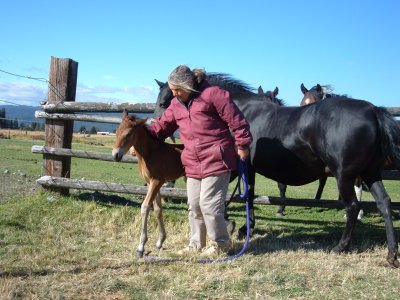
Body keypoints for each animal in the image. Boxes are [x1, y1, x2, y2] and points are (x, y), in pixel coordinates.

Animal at [111, 110, 185, 258]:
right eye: (116, 131)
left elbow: (145, 207)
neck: (150, 152)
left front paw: (141, 247)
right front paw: (160, 241)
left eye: (129, 134)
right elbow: (158, 209)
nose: (115, 155)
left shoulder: (156, 181)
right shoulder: (152, 183)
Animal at [154, 74, 400, 266]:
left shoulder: (237, 168)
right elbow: (245, 194)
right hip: (370, 174)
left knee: (352, 207)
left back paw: (342, 246)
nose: (156, 128)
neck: (240, 111)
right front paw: (242, 226)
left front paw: (235, 224)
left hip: (345, 176)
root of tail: (373, 110)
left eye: (165, 102)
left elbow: (232, 196)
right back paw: (391, 254)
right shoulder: (246, 168)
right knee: (384, 204)